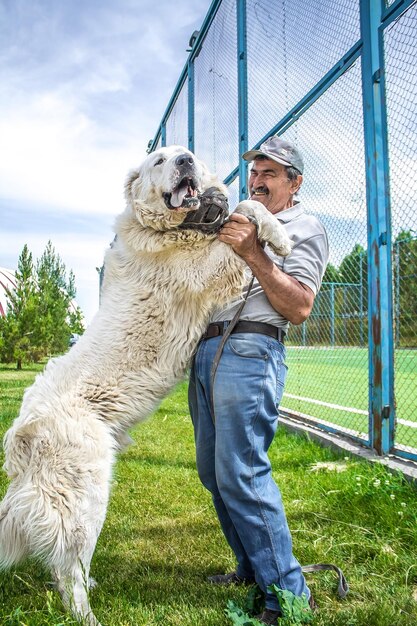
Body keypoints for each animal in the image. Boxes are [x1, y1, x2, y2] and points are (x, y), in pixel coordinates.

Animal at [0, 144, 290, 620]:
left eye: (187, 154)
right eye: (159, 160)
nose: (185, 160)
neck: (170, 230)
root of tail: (21, 429)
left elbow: (244, 210)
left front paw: (270, 227)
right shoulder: (205, 273)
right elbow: (246, 213)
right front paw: (278, 235)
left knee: (66, 563)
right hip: (87, 493)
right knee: (67, 566)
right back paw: (87, 615)